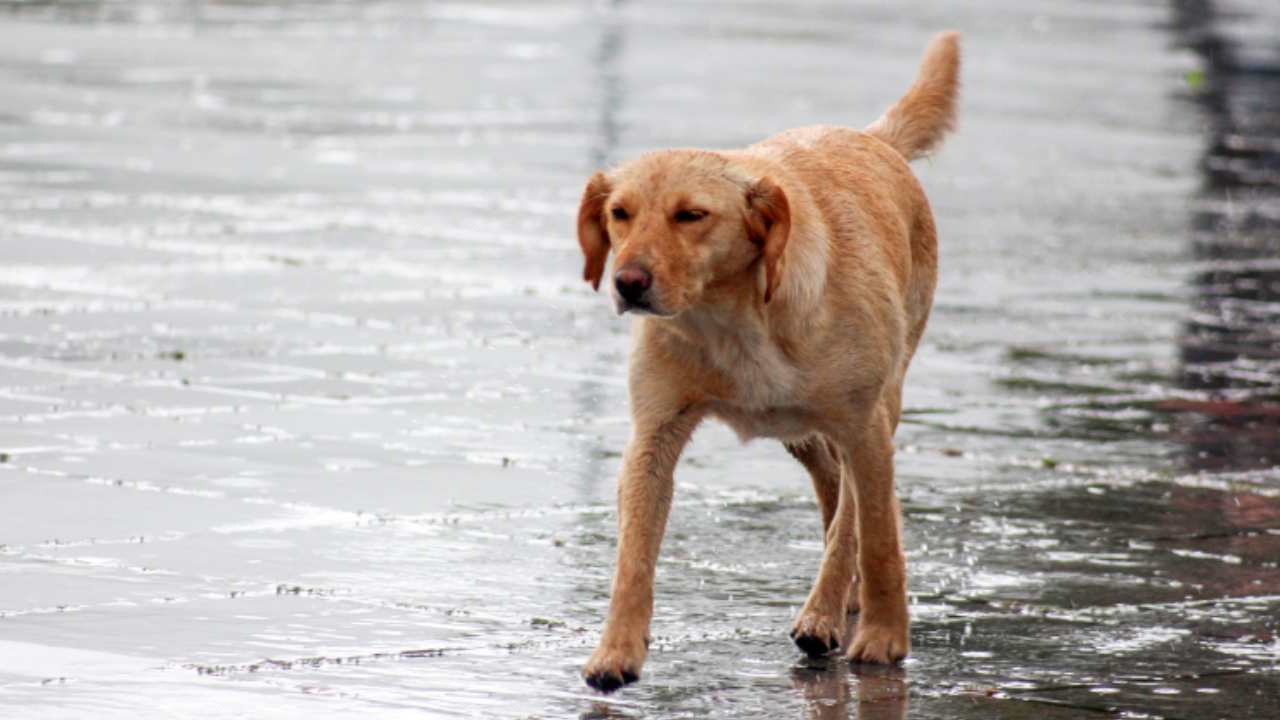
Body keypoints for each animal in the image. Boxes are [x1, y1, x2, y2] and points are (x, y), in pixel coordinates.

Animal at [576, 29, 957, 691]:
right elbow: (633, 558)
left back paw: (830, 610)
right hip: (798, 430)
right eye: (619, 213)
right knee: (832, 486)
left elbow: (877, 537)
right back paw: (838, 601)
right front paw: (616, 650)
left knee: (855, 513)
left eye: (691, 215)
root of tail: (873, 139)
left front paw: (885, 639)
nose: (627, 283)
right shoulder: (653, 436)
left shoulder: (864, 426)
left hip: (876, 406)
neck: (733, 321)